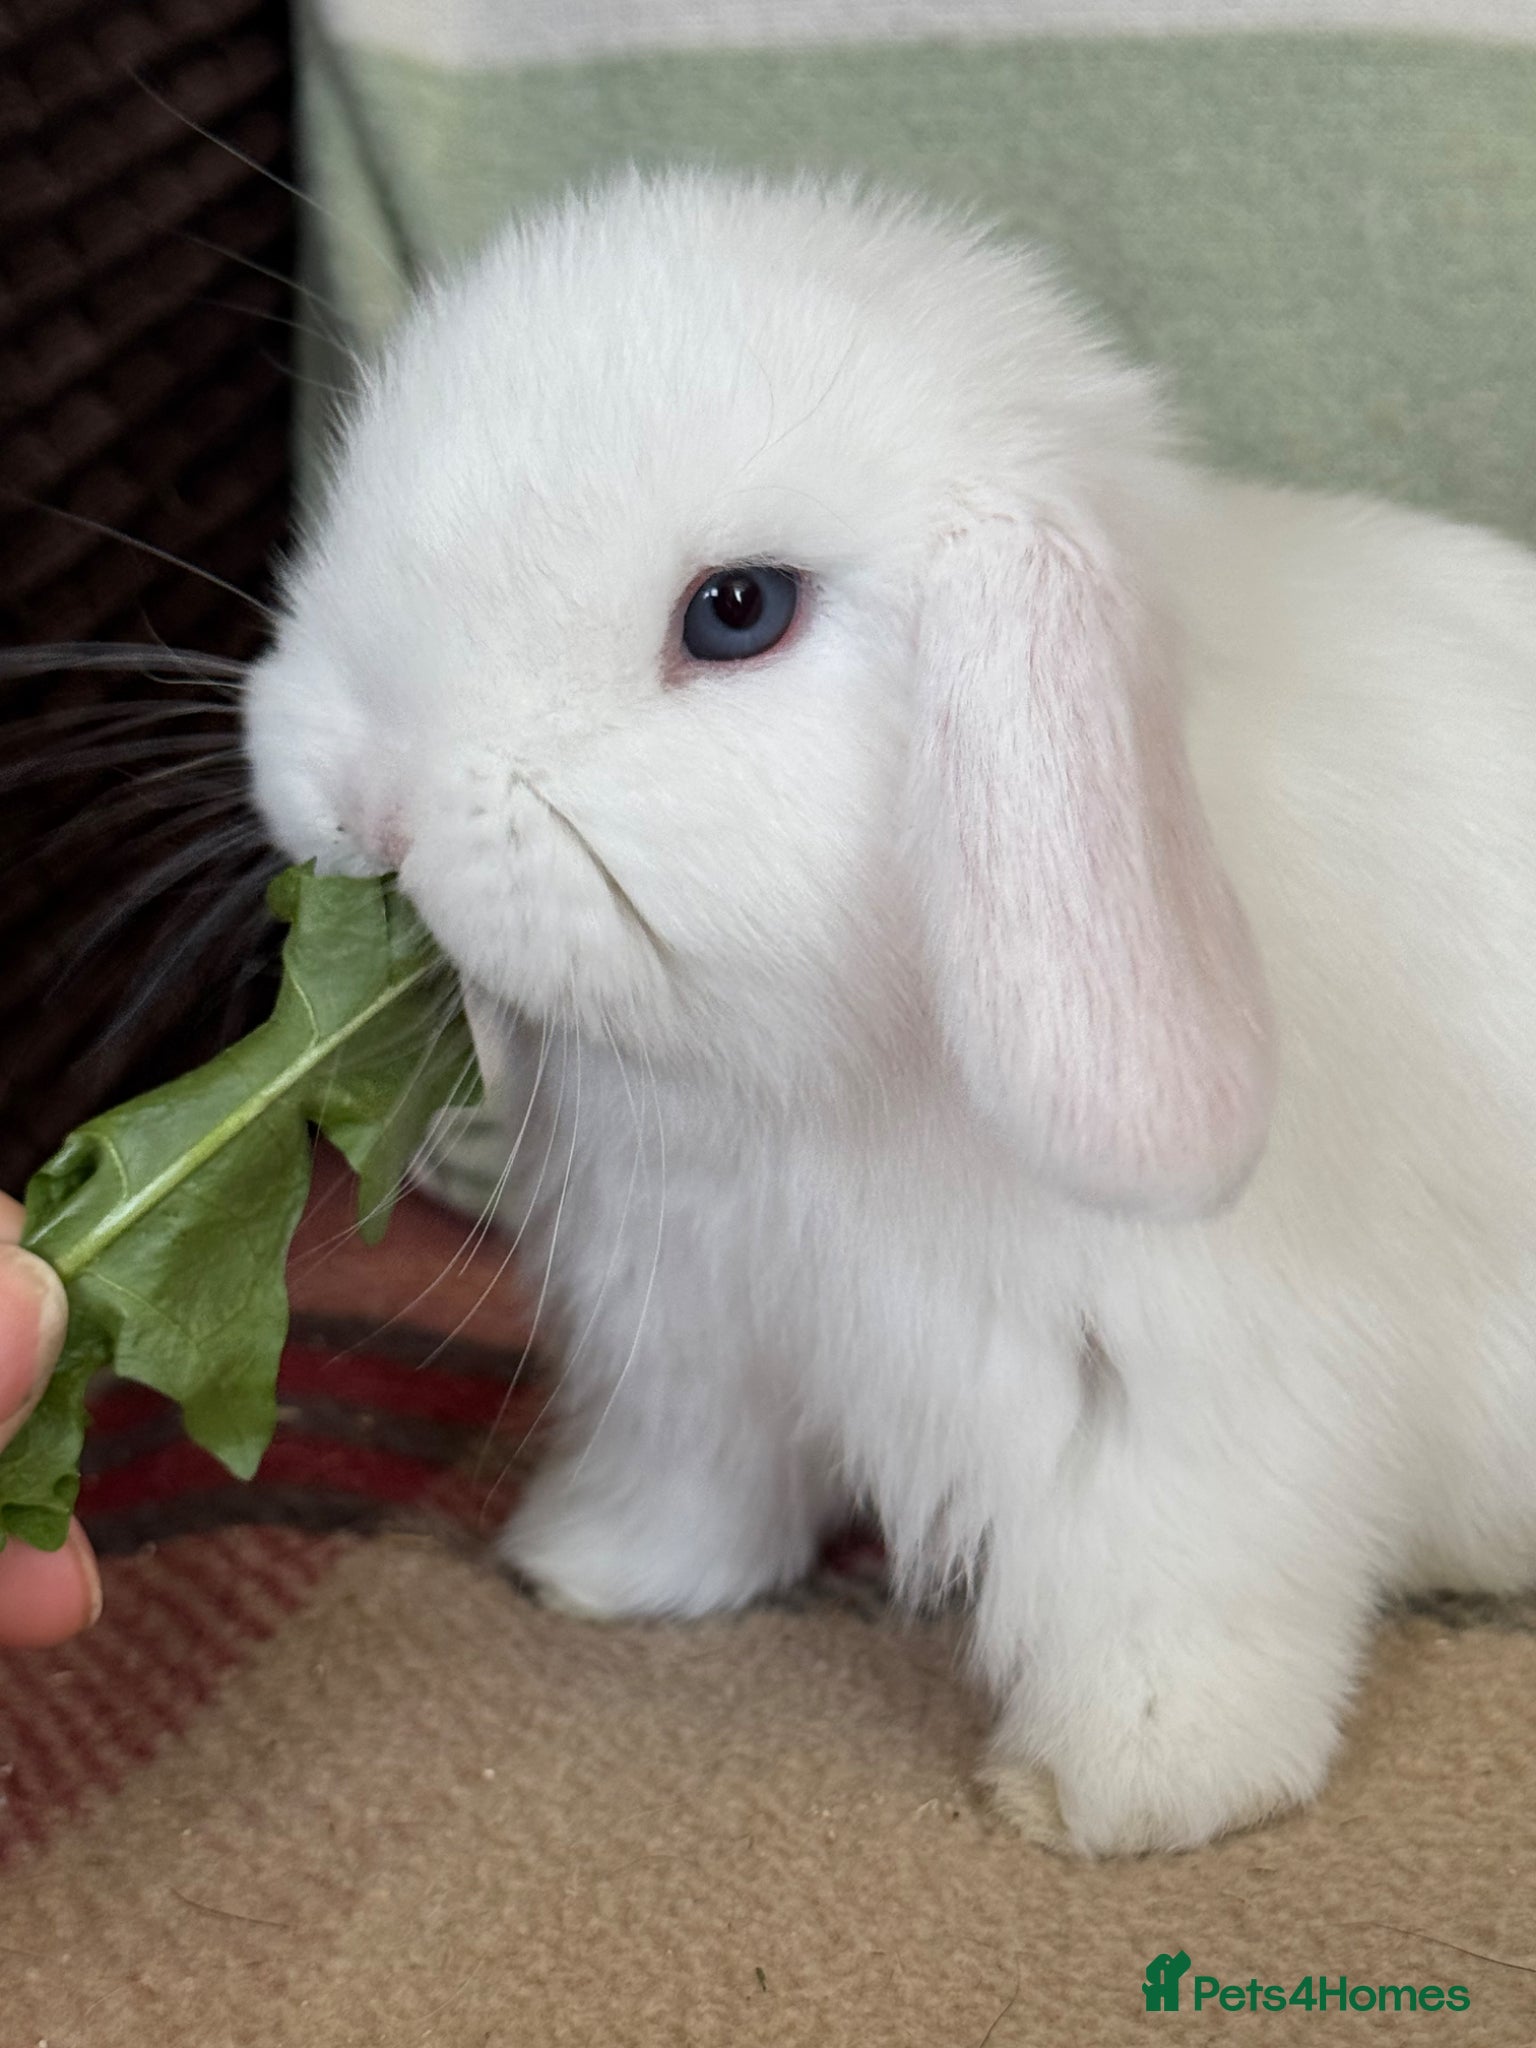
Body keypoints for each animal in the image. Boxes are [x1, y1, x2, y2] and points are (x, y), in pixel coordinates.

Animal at [243, 166, 1536, 1857]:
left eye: (737, 612)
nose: (372, 810)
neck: (814, 1089)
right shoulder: (703, 1347)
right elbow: (700, 1489)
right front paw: (594, 1571)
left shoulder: (1189, 1407)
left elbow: (1169, 1599)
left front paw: (1120, 1790)